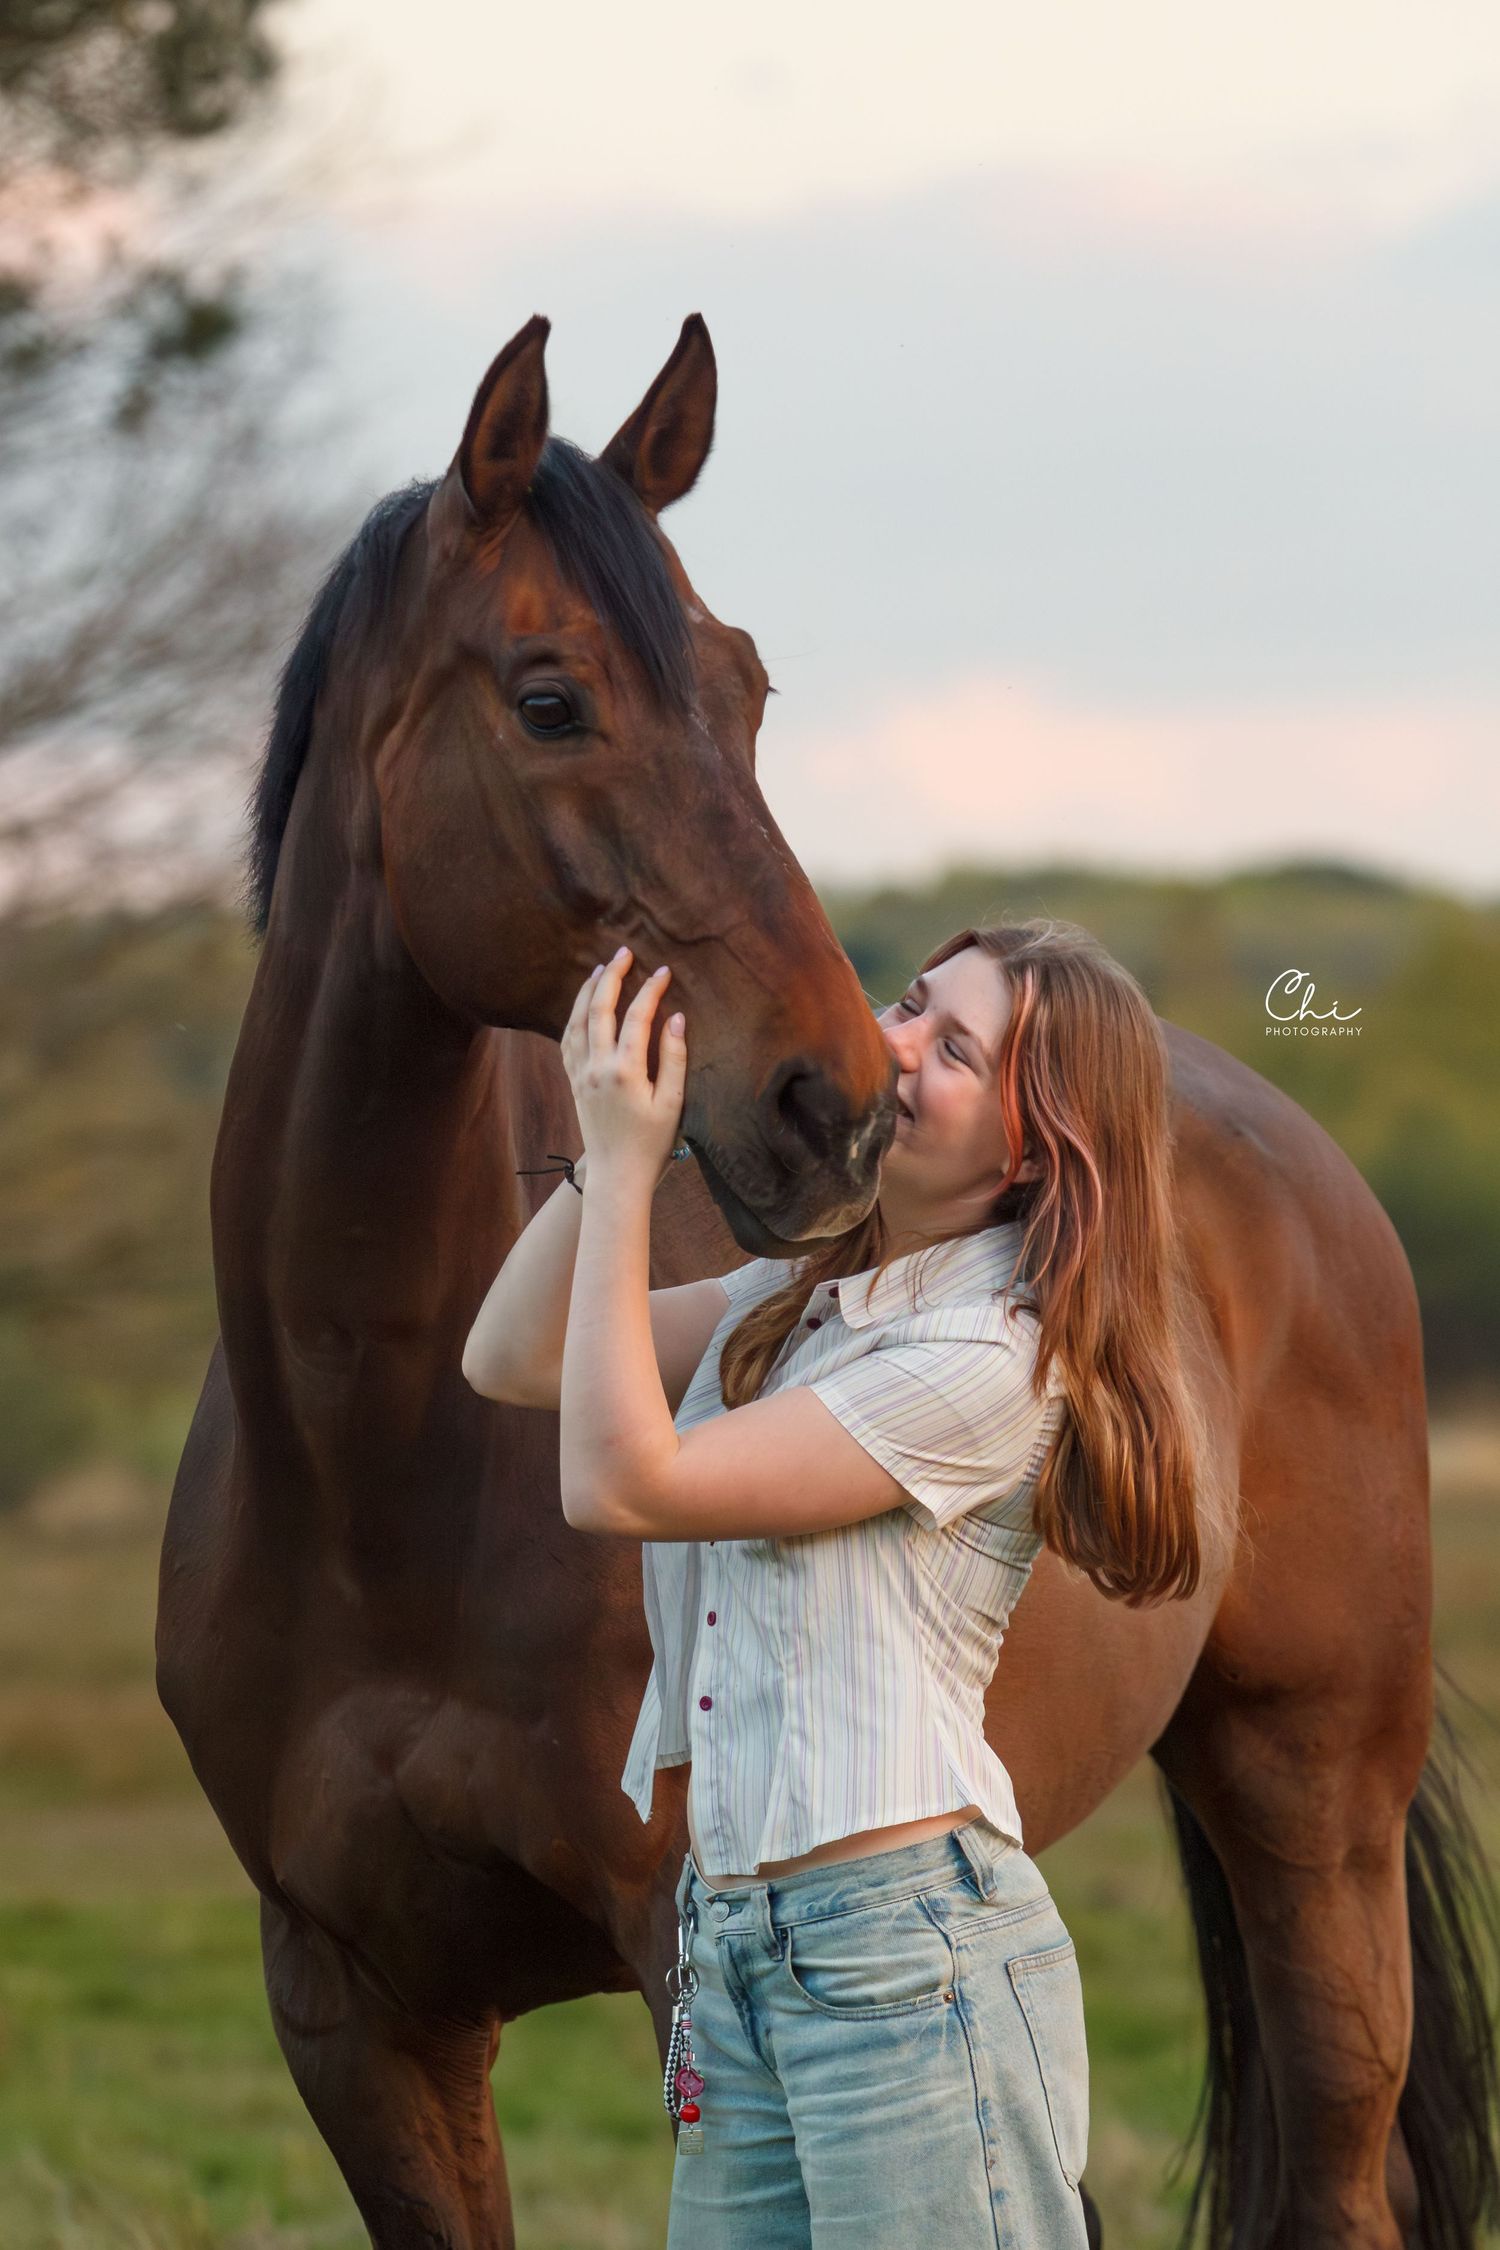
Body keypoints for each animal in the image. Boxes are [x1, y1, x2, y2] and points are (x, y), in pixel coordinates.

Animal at [157, 311, 1498, 2248]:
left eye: (749, 692)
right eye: (550, 698)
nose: (836, 1101)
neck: (370, 1453)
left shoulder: (681, 1956)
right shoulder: (354, 2015)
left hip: (1315, 1806)